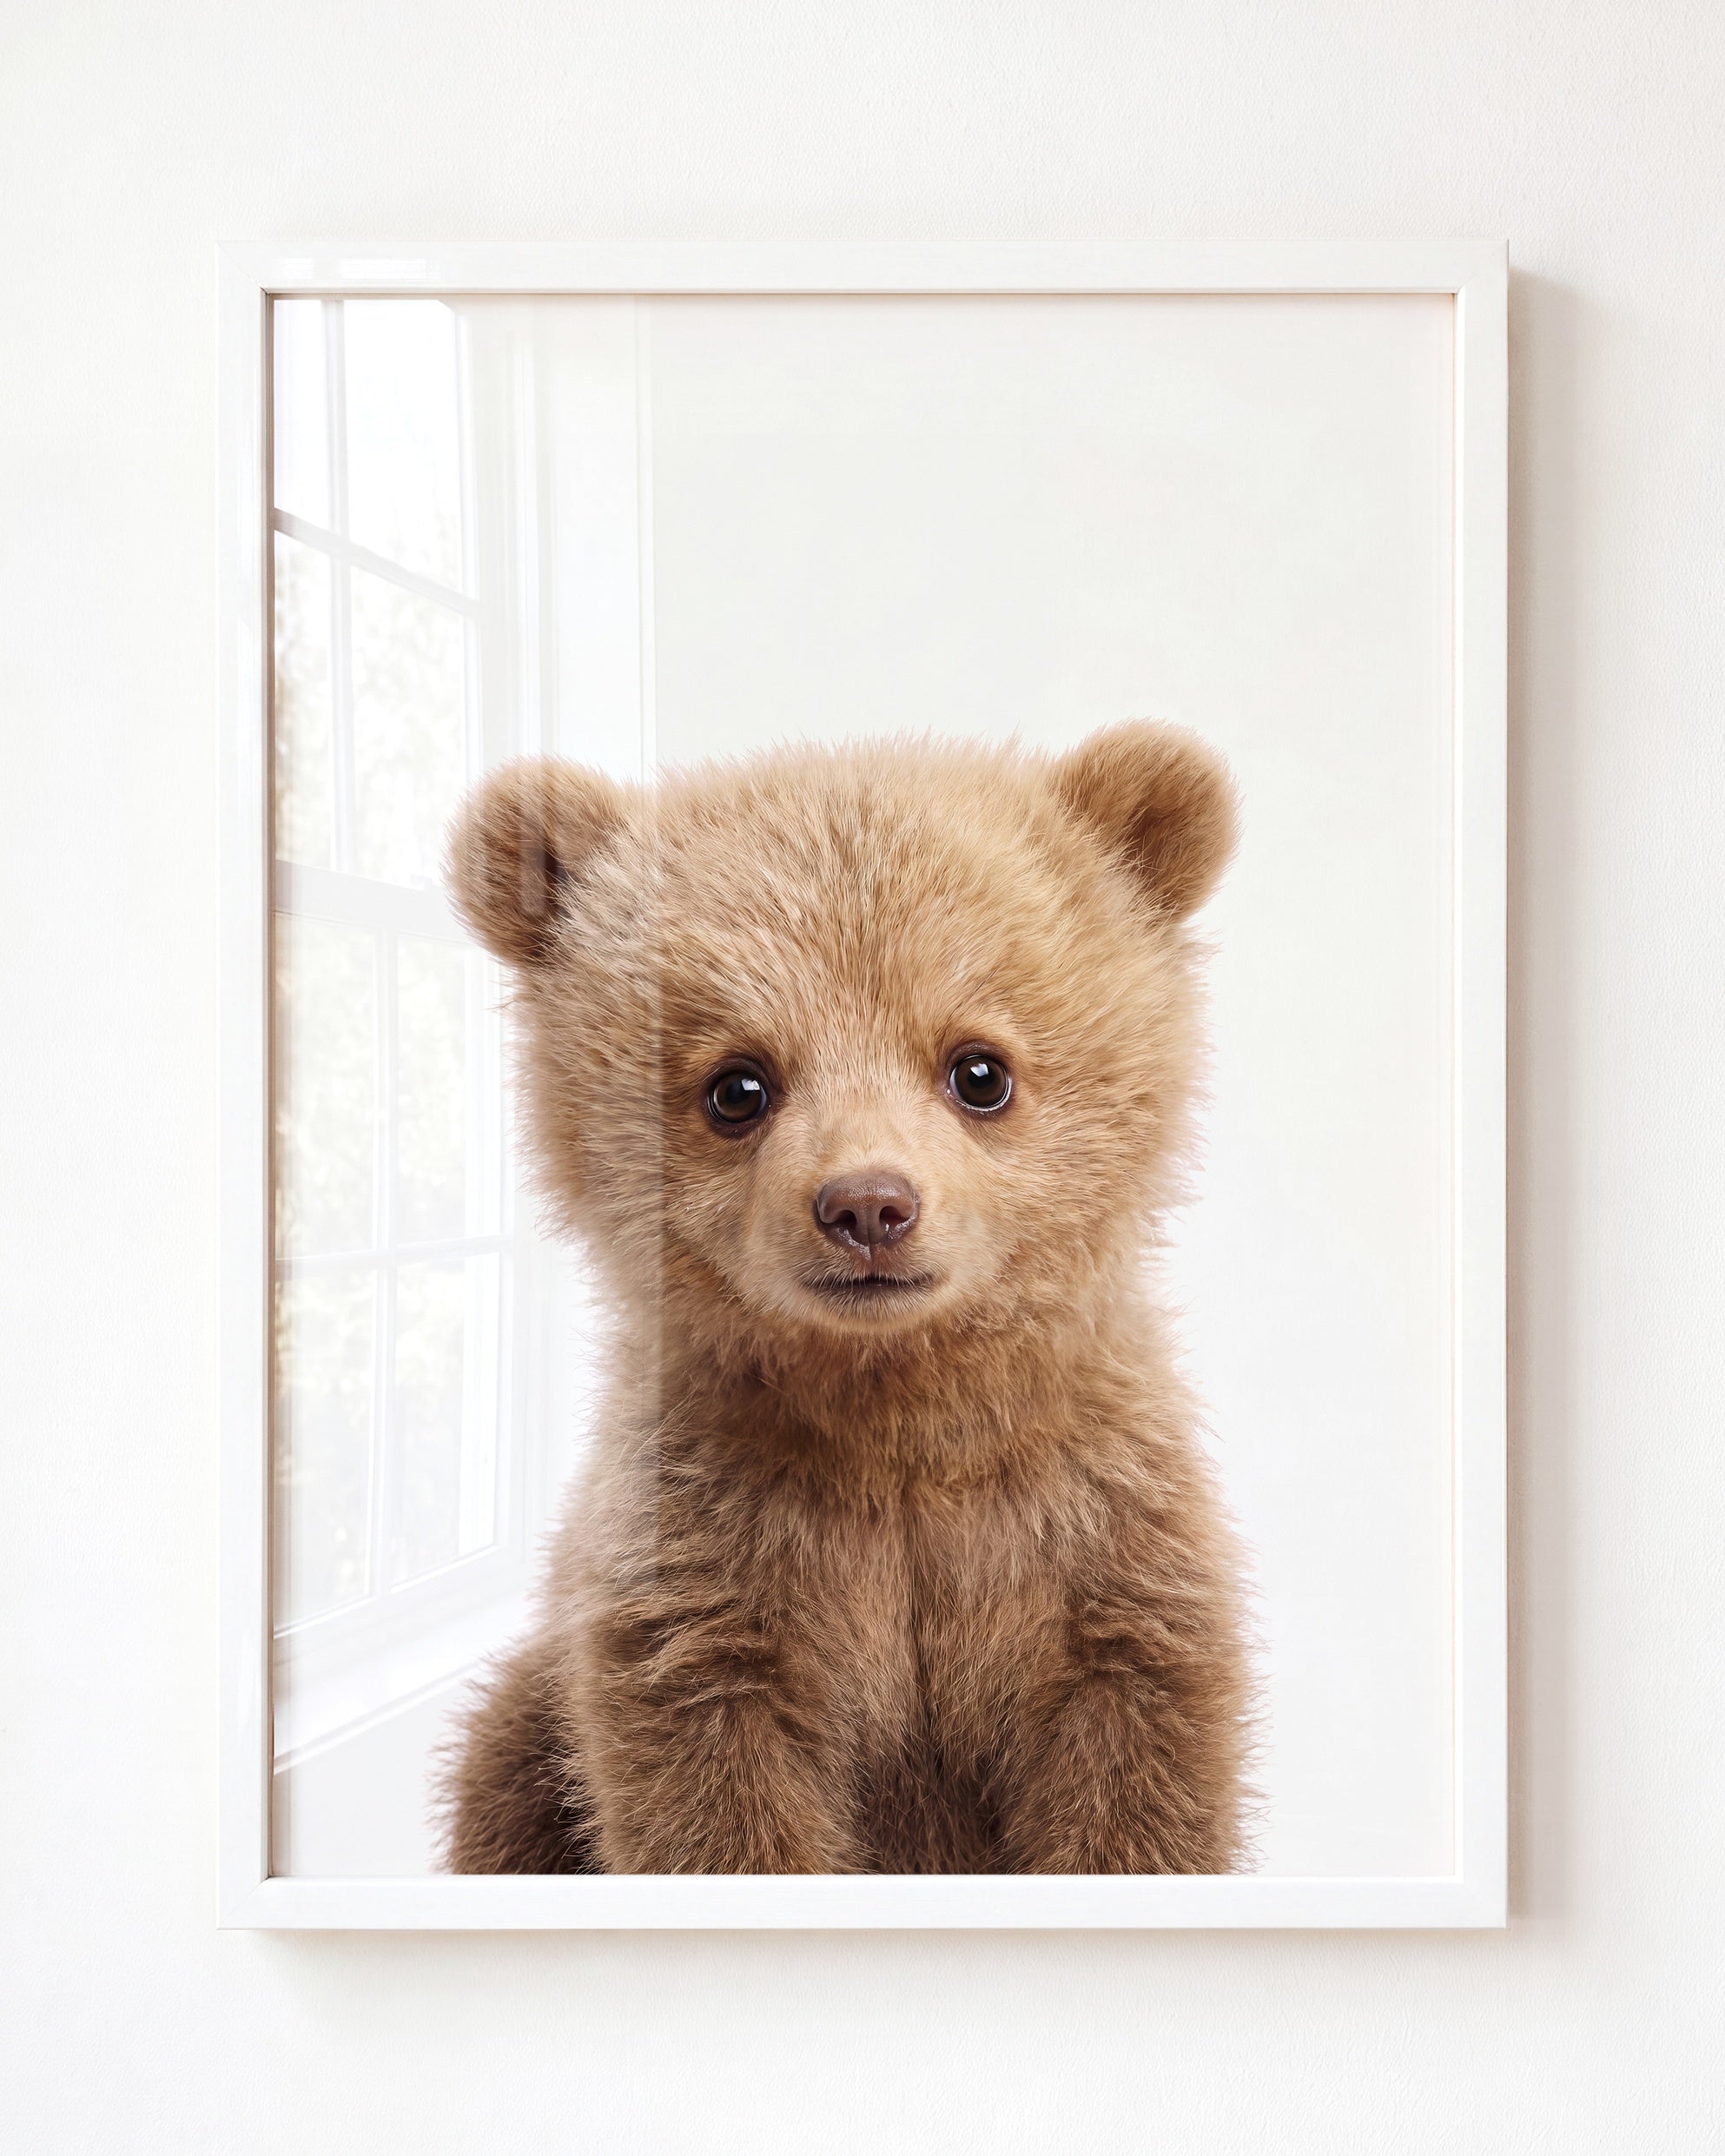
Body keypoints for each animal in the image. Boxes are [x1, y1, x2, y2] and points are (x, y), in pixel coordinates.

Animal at [436, 721, 1256, 1875]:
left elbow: (1136, 1787)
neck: (895, 1414)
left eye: (980, 1069)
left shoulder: (1095, 1549)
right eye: (737, 1085)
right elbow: (716, 1803)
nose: (868, 1204)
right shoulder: (708, 1577)